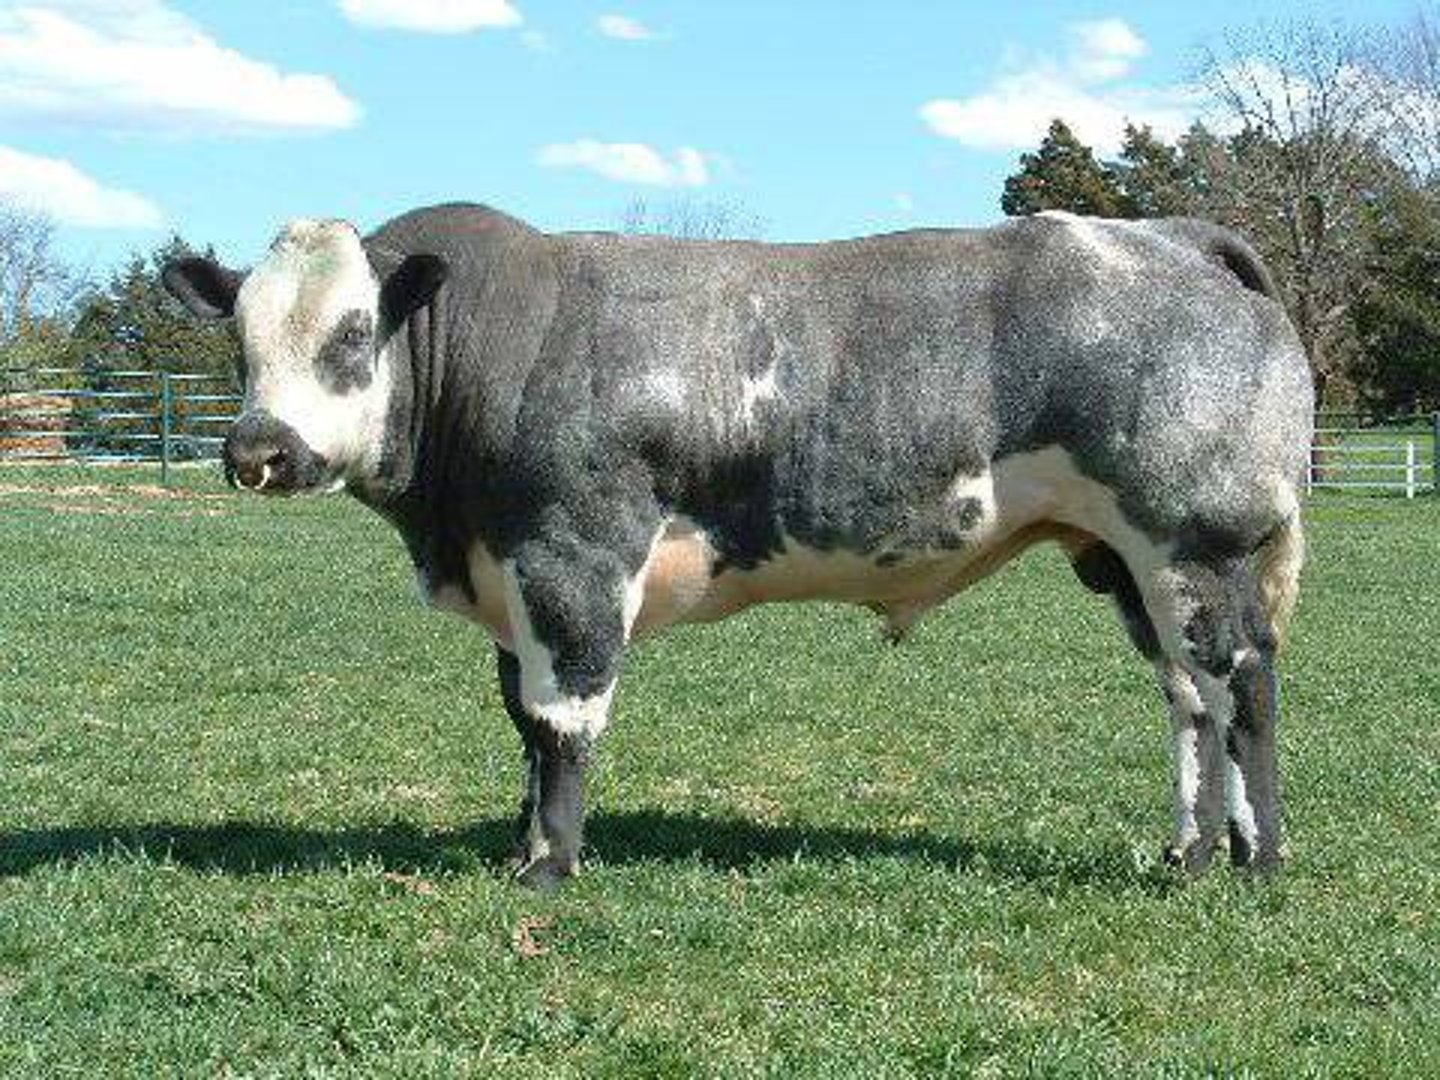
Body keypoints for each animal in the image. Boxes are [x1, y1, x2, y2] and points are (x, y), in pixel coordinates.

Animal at [163, 203, 1312, 888]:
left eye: (354, 334)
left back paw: (1257, 861)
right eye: (241, 341)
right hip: (1127, 560)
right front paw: (520, 839)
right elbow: (522, 721)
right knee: (1189, 696)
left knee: (1244, 681)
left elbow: (564, 722)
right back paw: (1189, 850)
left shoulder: (574, 560)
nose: (259, 450)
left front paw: (549, 866)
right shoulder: (510, 577)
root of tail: (1173, 235)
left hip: (1199, 542)